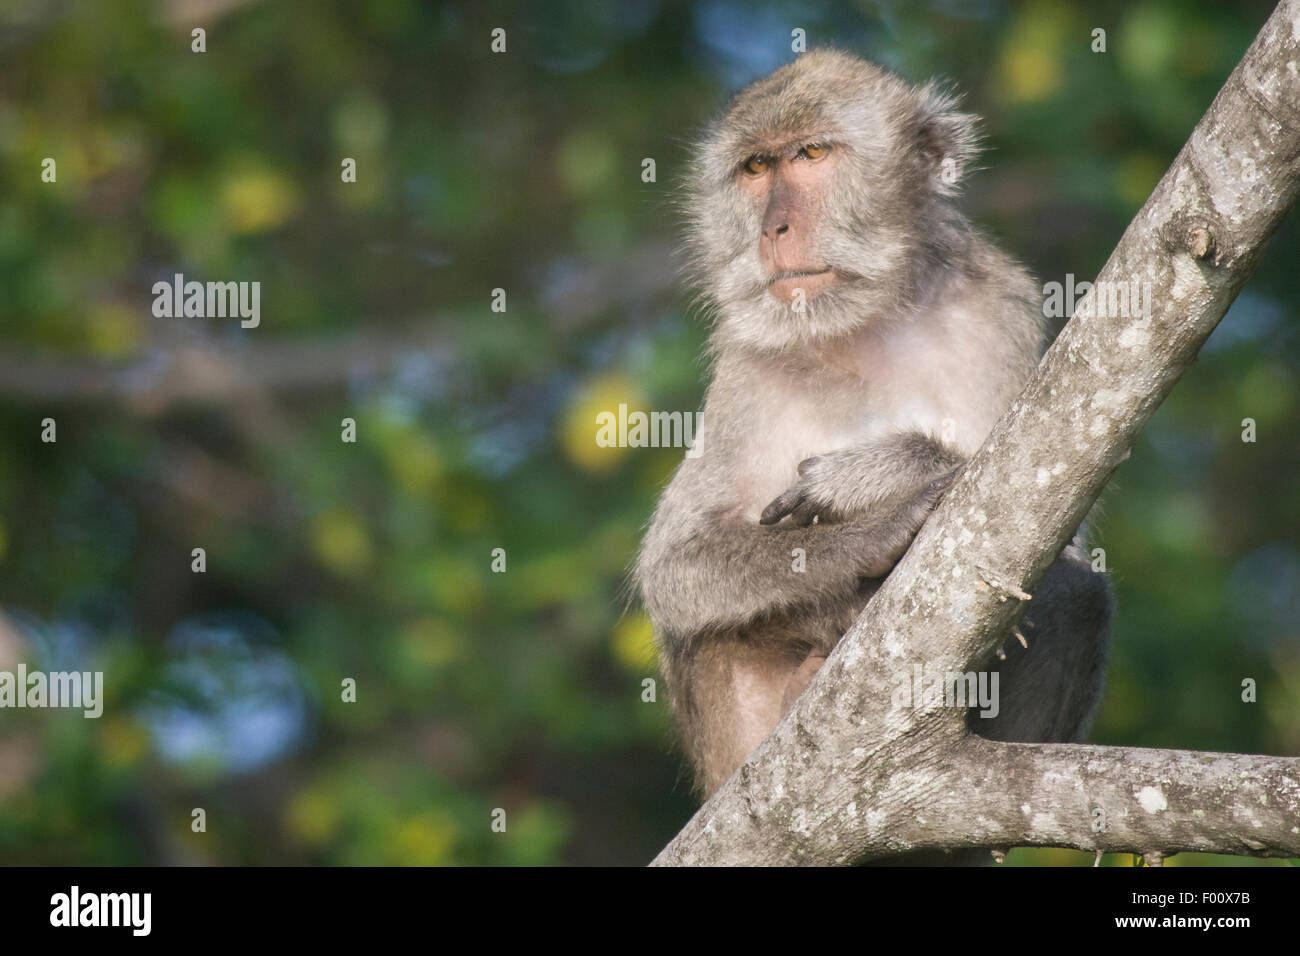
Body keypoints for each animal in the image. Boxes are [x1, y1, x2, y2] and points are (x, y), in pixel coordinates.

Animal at [635, 50, 1112, 800]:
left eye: (811, 154)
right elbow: (677, 568)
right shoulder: (747, 362)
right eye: (756, 168)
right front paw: (880, 527)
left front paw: (870, 475)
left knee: (1079, 592)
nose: (772, 230)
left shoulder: (997, 309)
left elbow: (1053, 516)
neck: (863, 326)